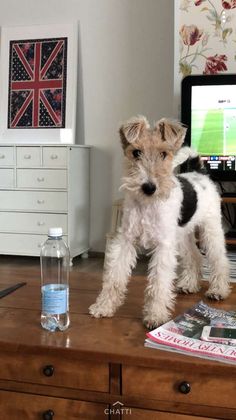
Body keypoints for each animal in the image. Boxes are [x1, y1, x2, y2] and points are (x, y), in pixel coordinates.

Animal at [89, 115, 231, 328]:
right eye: (136, 152)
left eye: (164, 153)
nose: (149, 187)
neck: (148, 205)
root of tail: (199, 173)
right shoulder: (126, 240)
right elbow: (114, 277)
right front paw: (103, 307)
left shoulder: (163, 246)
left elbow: (158, 282)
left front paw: (155, 315)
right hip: (182, 235)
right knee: (195, 256)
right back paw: (189, 284)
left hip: (210, 229)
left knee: (219, 259)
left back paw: (218, 290)